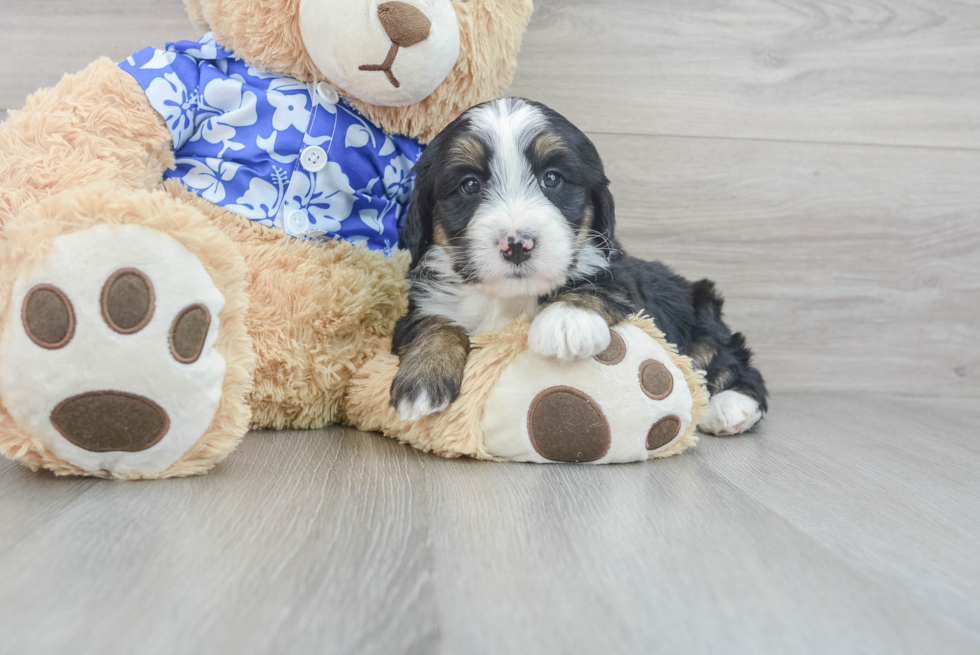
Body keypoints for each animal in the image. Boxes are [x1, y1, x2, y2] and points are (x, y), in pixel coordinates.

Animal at [388, 97, 764, 436]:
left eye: (552, 179)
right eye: (469, 184)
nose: (517, 244)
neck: (509, 298)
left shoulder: (623, 279)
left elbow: (597, 285)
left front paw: (566, 321)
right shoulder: (421, 303)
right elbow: (434, 321)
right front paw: (423, 377)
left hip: (703, 310)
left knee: (728, 358)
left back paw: (731, 407)